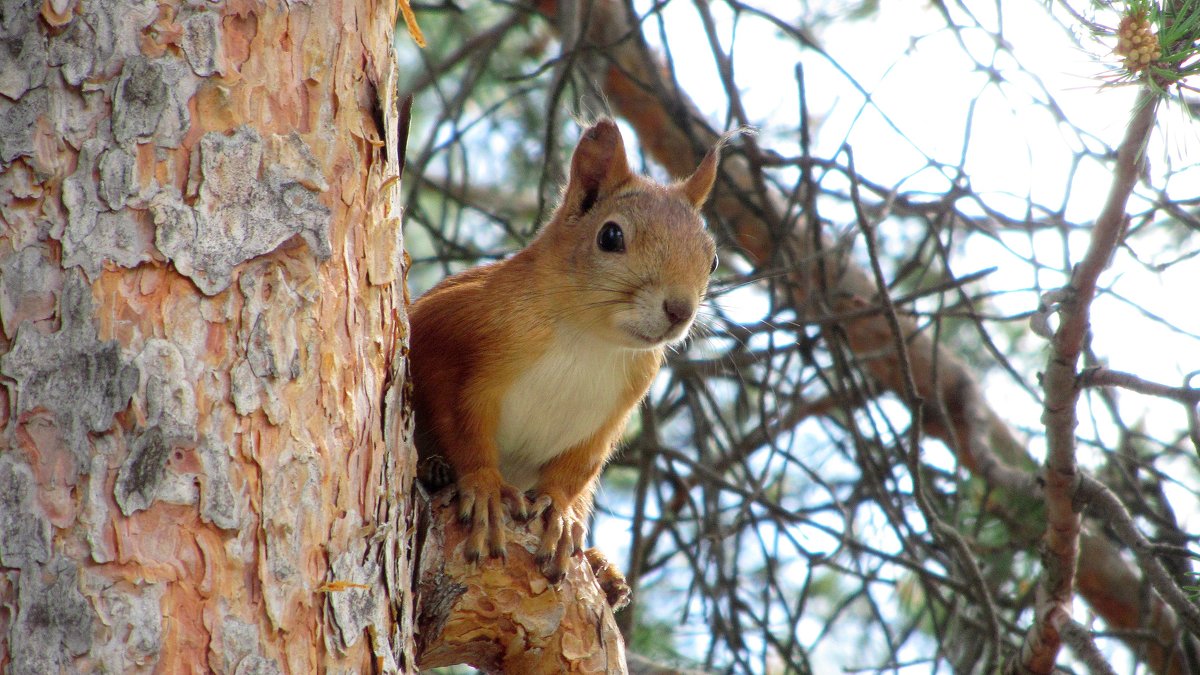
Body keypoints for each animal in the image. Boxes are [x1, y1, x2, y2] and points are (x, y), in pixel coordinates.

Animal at [408, 118, 715, 586]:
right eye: (610, 236)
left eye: (712, 259)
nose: (680, 310)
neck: (589, 341)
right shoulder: (449, 336)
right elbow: (457, 422)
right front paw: (485, 488)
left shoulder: (608, 419)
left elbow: (576, 471)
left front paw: (559, 512)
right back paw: (434, 469)